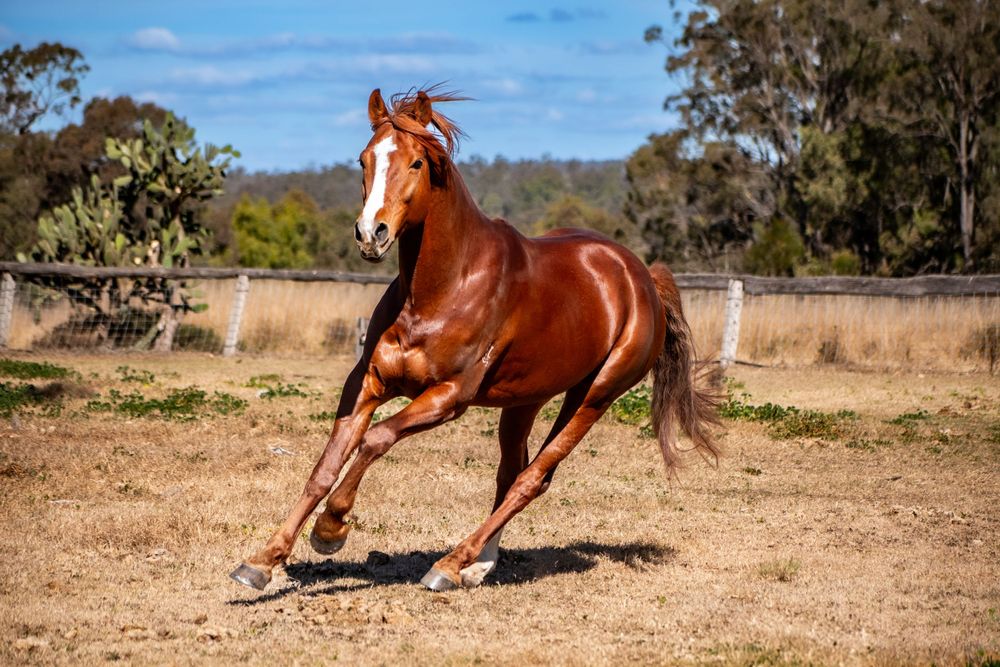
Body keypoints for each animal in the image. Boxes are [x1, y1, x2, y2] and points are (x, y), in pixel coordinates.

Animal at [229, 87, 721, 592]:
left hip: (594, 396)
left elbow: (376, 440)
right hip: (524, 400)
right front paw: (262, 561)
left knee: (533, 478)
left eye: (416, 163)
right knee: (512, 474)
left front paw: (330, 530)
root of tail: (642, 278)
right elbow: (325, 466)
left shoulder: (448, 397)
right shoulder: (367, 383)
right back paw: (477, 566)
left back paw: (448, 566)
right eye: (363, 159)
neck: (442, 290)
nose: (371, 234)